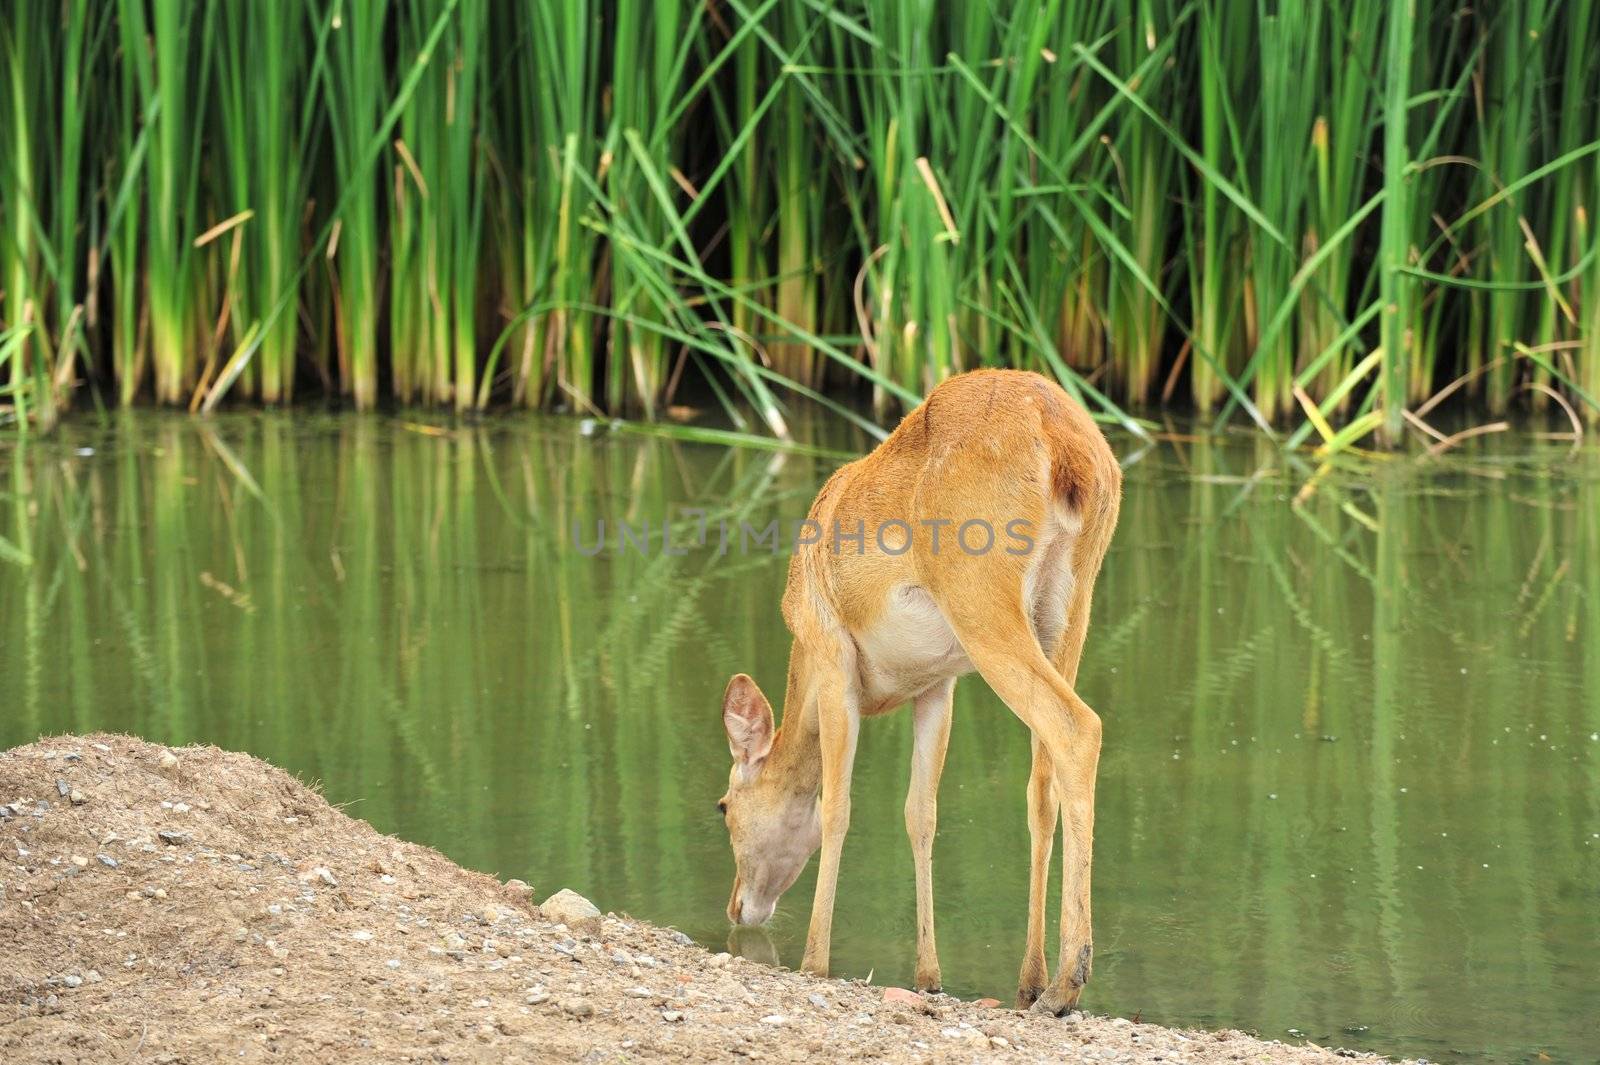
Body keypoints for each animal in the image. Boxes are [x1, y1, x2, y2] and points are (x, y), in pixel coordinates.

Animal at [720, 367, 1120, 1010]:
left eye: (724, 807)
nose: (737, 908)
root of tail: (1067, 448)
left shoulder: (833, 657)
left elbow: (837, 806)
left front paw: (814, 960)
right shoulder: (939, 684)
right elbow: (920, 812)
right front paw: (928, 974)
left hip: (980, 595)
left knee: (1077, 726)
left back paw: (1067, 983)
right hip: (1069, 606)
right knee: (1042, 782)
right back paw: (1032, 981)